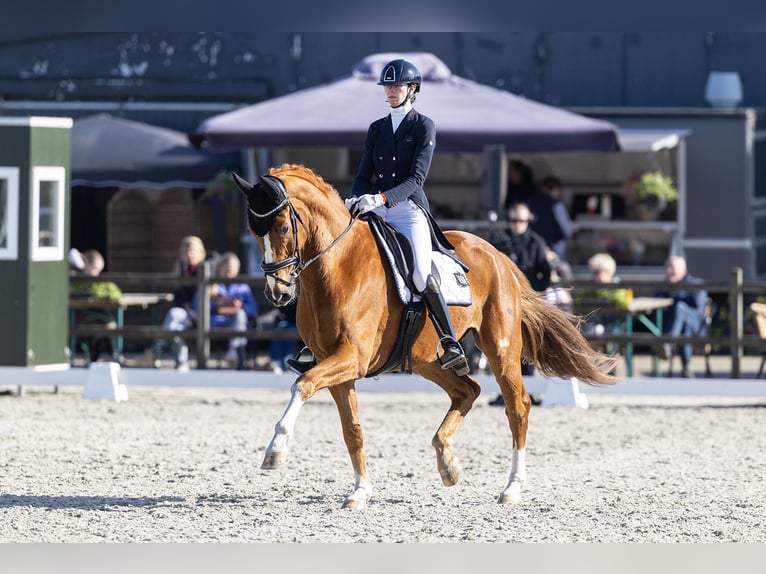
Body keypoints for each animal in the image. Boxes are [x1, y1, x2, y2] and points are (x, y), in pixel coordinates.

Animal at [233, 164, 617, 510]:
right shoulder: (337, 364)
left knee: (517, 406)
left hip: (501, 348)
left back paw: (511, 488)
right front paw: (360, 492)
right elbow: (351, 429)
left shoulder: (352, 358)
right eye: (252, 230)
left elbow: (303, 384)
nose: (278, 293)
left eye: (283, 226)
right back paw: (448, 464)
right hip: (426, 359)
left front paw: (275, 451)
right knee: (467, 391)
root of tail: (499, 256)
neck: (337, 267)